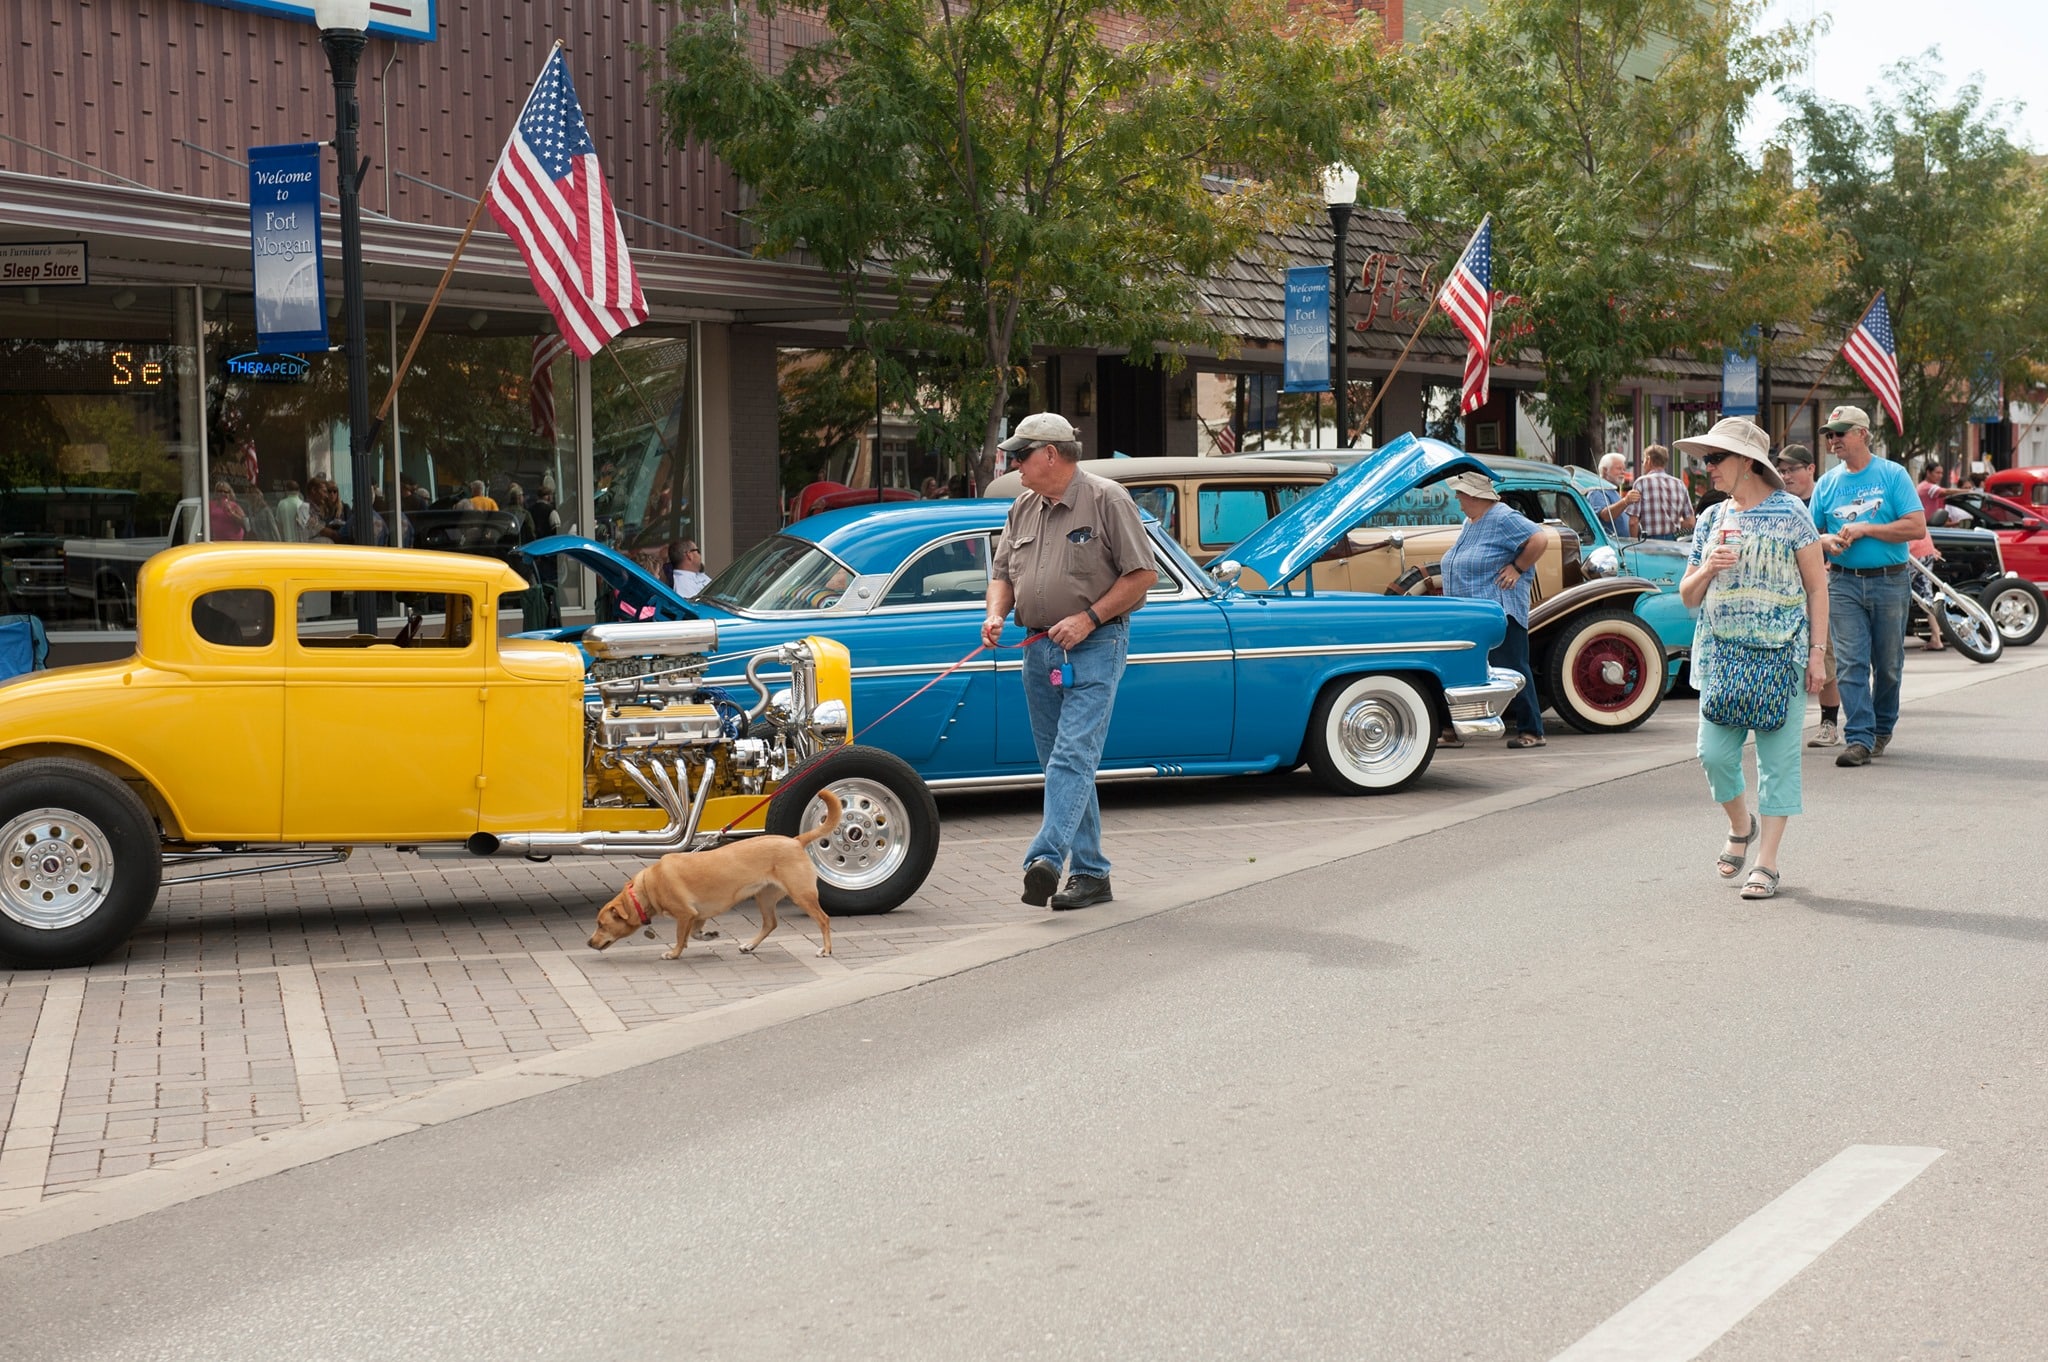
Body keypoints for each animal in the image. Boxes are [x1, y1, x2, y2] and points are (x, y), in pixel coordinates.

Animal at [585, 786, 839, 954]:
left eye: (601, 925)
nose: (588, 943)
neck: (647, 888)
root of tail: (795, 841)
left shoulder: (685, 914)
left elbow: (680, 937)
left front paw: (673, 953)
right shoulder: (698, 915)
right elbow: (695, 933)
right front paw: (708, 935)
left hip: (800, 894)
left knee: (823, 919)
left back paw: (826, 949)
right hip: (764, 896)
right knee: (770, 924)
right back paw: (750, 945)